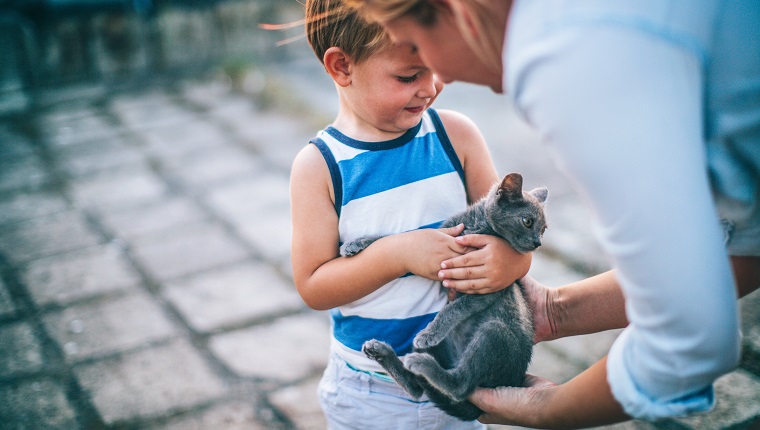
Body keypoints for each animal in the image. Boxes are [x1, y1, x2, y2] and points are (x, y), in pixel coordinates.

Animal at [338, 171, 548, 420]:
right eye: (528, 221)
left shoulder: (491, 284)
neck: (476, 226)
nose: (538, 243)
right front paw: (357, 242)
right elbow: (396, 237)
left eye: (544, 229)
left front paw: (430, 333)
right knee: (418, 389)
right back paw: (381, 352)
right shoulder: (440, 238)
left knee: (460, 385)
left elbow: (455, 308)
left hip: (495, 331)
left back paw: (421, 360)